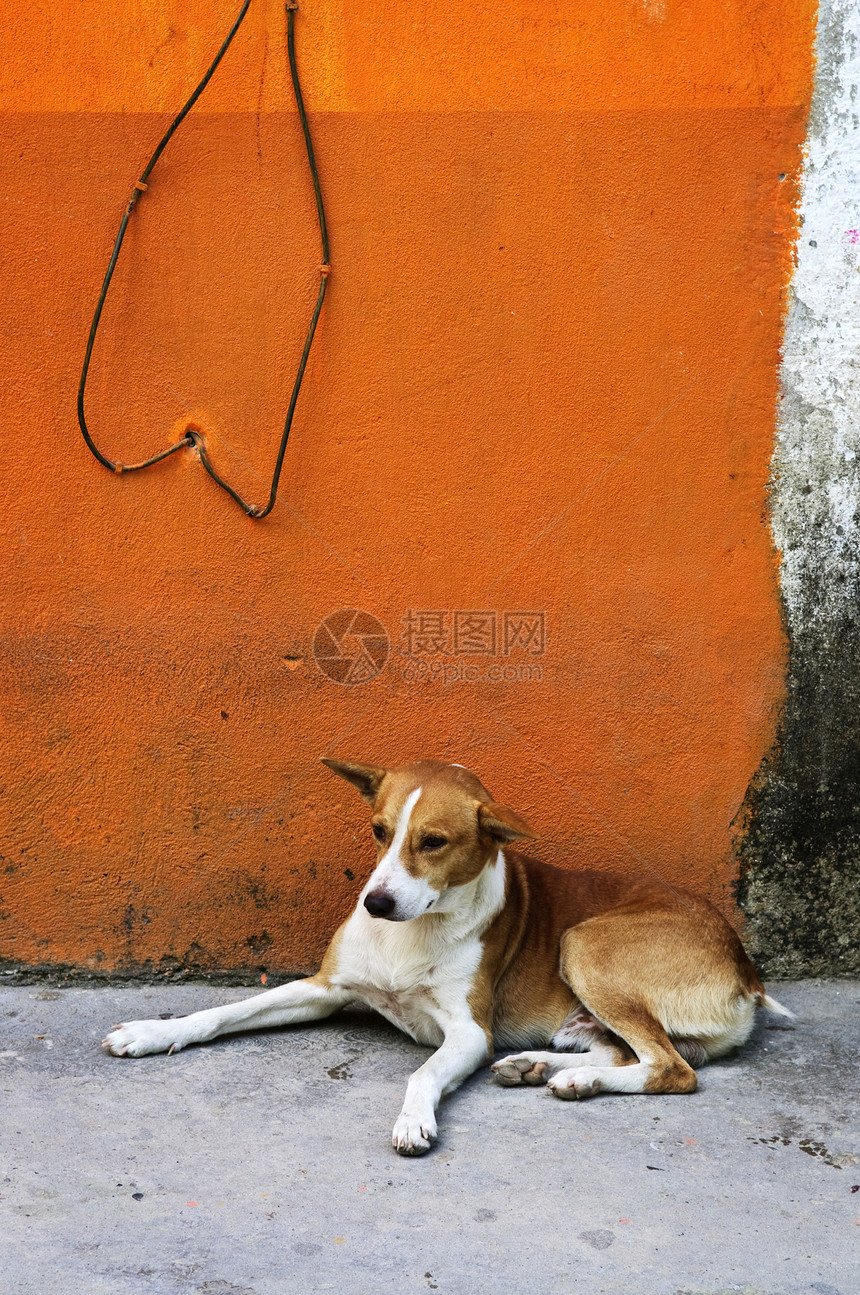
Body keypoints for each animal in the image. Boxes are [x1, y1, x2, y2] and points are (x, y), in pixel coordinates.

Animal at [102, 756, 792, 1155]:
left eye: (433, 842)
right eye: (380, 832)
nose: (375, 902)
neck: (411, 931)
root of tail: (745, 967)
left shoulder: (465, 1031)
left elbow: (423, 1072)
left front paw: (414, 1120)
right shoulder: (325, 988)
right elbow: (221, 1013)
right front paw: (149, 1031)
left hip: (584, 942)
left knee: (672, 1068)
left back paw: (574, 1078)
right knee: (627, 1052)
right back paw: (543, 1068)